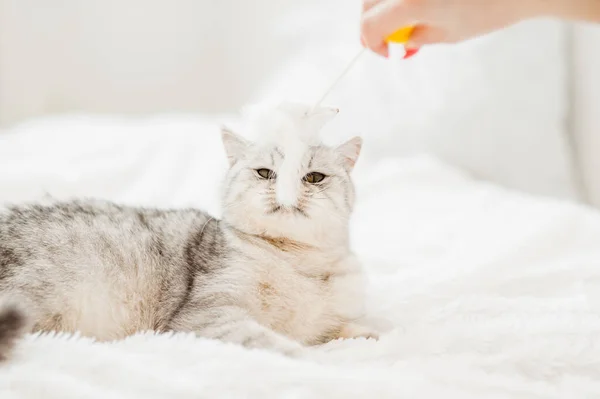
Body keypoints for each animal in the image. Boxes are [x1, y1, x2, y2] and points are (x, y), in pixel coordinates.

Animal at [0, 101, 376, 360]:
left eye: (313, 177)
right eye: (265, 173)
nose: (286, 190)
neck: (299, 263)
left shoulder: (328, 320)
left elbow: (349, 328)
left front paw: (369, 335)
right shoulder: (206, 315)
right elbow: (269, 339)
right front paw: (315, 358)